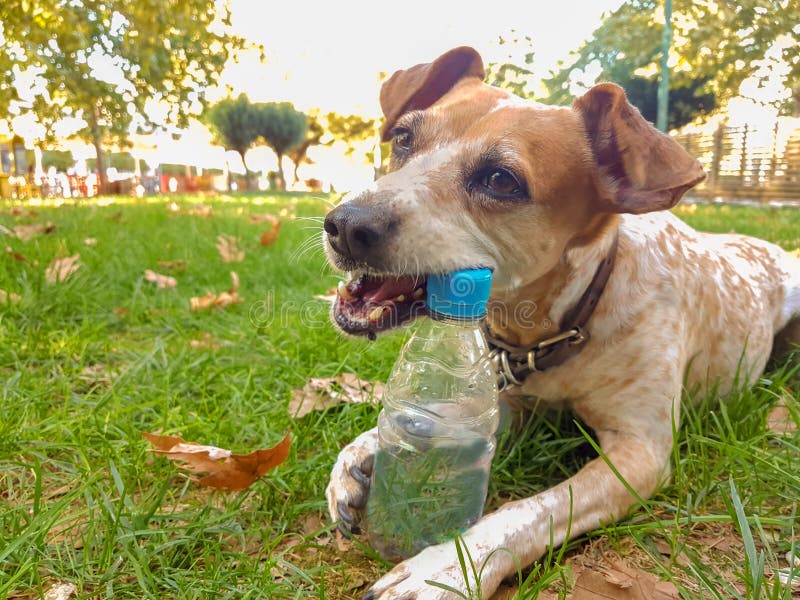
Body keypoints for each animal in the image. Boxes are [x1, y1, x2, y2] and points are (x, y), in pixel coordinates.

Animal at [320, 44, 800, 596]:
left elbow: (531, 511)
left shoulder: (640, 452)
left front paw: (444, 569)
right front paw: (361, 453)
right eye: (402, 138)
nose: (345, 225)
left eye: (501, 180)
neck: (555, 325)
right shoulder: (507, 400)